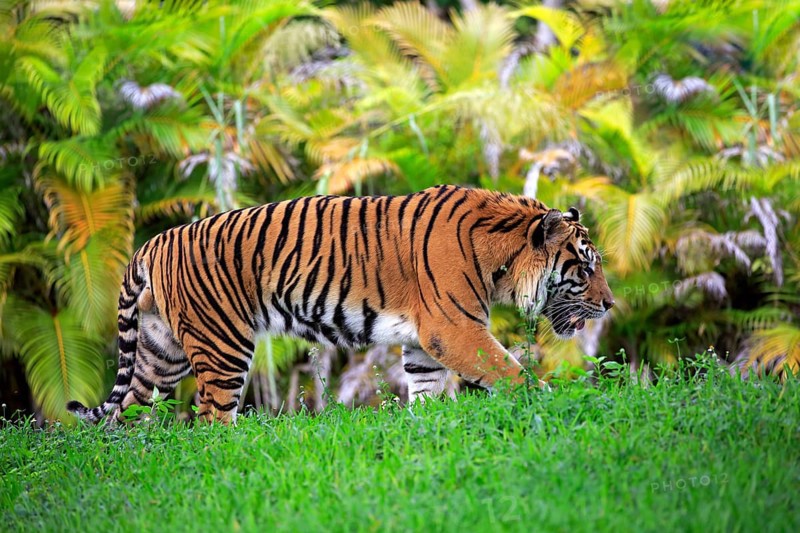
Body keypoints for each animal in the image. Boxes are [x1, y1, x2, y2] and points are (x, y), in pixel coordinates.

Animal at [67, 185, 614, 424]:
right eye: (585, 269)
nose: (610, 305)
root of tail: (153, 243)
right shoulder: (454, 329)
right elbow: (512, 373)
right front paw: (560, 405)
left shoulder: (426, 342)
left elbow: (428, 393)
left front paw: (432, 431)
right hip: (221, 347)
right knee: (211, 419)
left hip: (161, 355)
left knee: (124, 417)